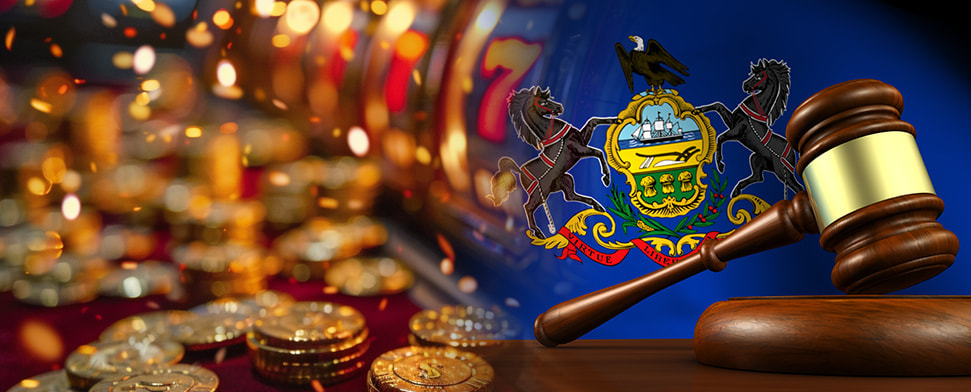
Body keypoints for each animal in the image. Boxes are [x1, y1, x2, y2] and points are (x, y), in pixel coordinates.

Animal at [700, 59, 804, 198]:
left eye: (759, 77)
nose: (745, 85)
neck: (755, 110)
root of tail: (793, 153)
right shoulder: (732, 122)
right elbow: (718, 105)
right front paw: (697, 110)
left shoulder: (737, 131)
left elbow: (720, 138)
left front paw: (720, 166)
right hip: (756, 158)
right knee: (758, 177)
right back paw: (736, 191)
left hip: (782, 172)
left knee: (798, 187)